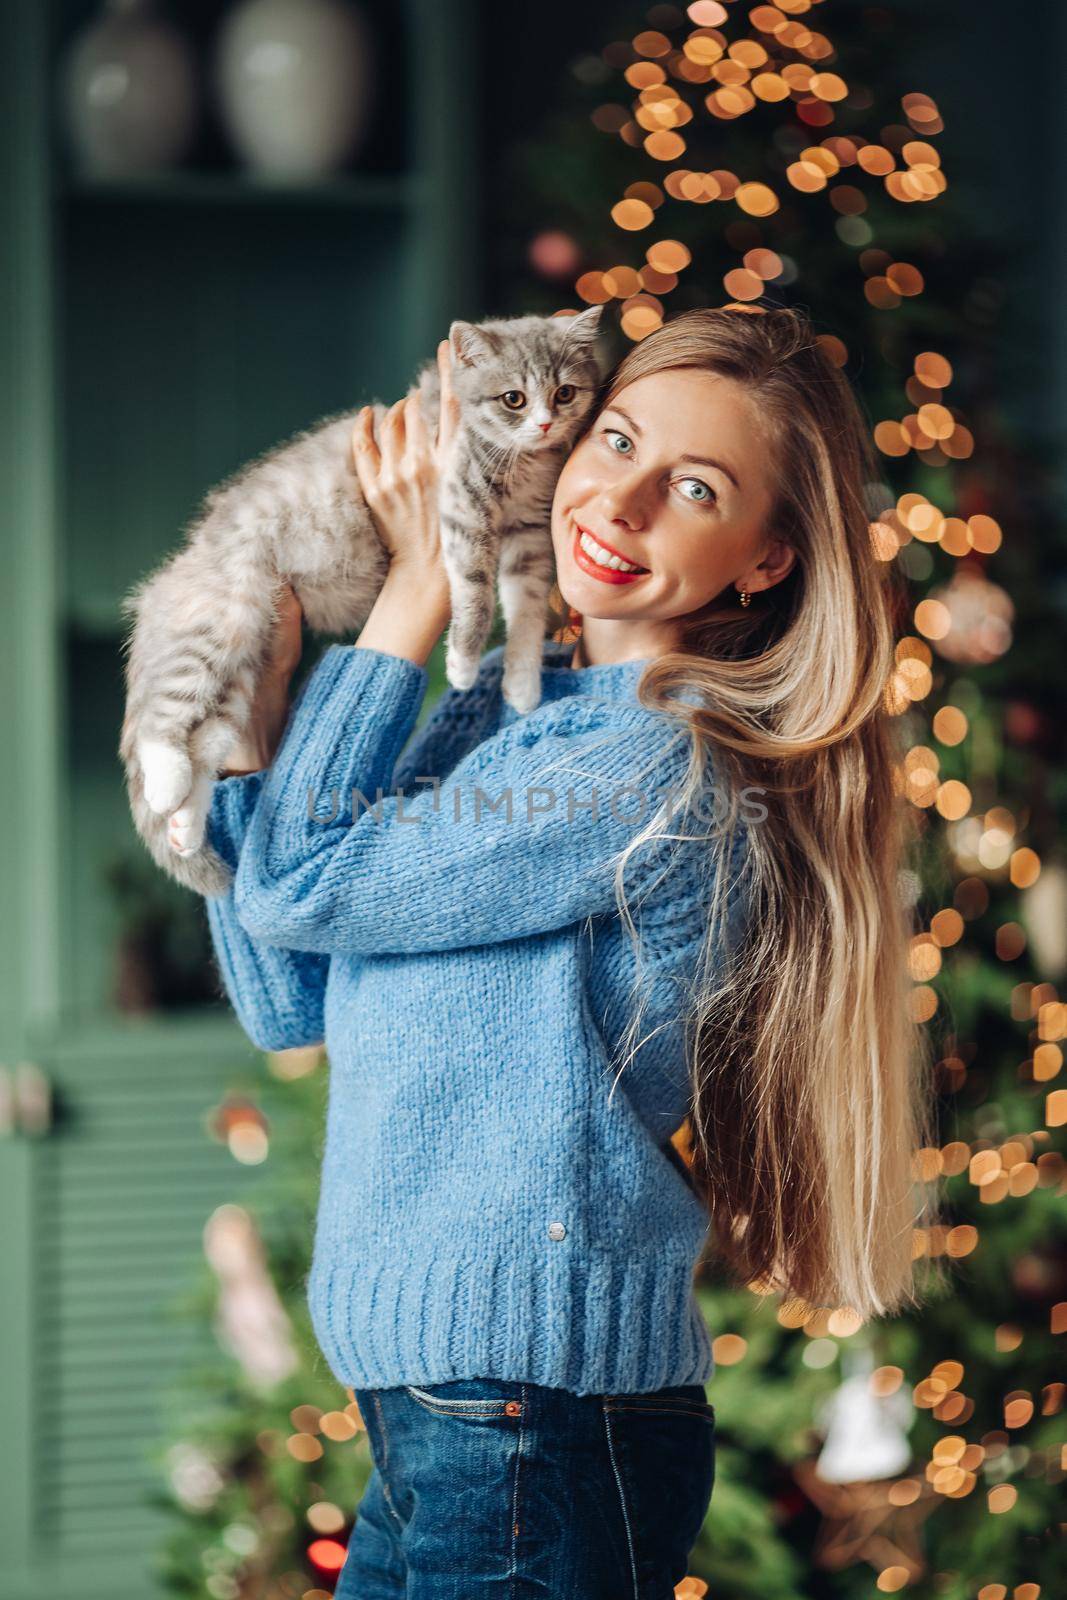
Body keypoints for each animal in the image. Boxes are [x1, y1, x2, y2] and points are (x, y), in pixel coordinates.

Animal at [117, 302, 607, 902]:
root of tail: (177, 570)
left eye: (564, 392)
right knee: (161, 719)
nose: (544, 423)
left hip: (243, 666)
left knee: (208, 743)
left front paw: (521, 682)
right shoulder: (464, 499)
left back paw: (185, 824)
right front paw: (464, 663)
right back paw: (166, 781)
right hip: (223, 617)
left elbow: (530, 608)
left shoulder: (529, 535)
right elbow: (474, 588)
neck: (524, 463)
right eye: (512, 398)